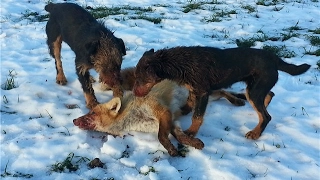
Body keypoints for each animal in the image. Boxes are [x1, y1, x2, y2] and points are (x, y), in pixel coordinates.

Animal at [74, 79, 205, 157]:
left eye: (92, 113)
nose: (74, 120)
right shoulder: (169, 122)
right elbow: (179, 136)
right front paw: (194, 143)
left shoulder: (162, 111)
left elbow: (161, 137)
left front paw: (172, 149)